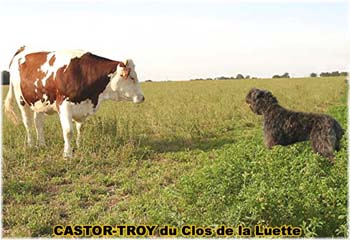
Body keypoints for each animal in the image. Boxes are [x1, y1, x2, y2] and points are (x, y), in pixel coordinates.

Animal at [4, 46, 144, 158]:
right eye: (132, 77)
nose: (142, 97)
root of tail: (22, 49)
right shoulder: (64, 104)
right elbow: (68, 131)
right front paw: (67, 154)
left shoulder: (82, 106)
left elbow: (80, 128)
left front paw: (79, 145)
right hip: (21, 100)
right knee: (28, 124)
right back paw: (31, 145)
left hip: (39, 102)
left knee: (38, 123)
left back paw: (42, 145)